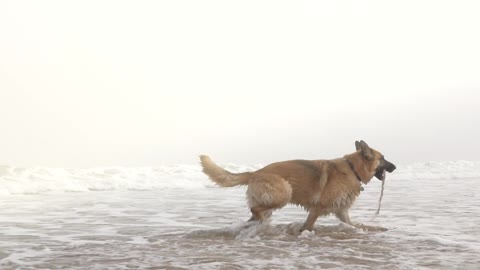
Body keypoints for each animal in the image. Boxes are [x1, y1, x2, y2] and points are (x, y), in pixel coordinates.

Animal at [201, 140, 396, 231]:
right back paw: (264, 224)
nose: (394, 167)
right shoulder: (317, 209)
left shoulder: (343, 214)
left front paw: (378, 228)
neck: (352, 168)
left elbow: (360, 225)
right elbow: (307, 226)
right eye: (383, 158)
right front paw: (304, 233)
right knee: (255, 210)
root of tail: (255, 172)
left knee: (253, 214)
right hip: (284, 194)